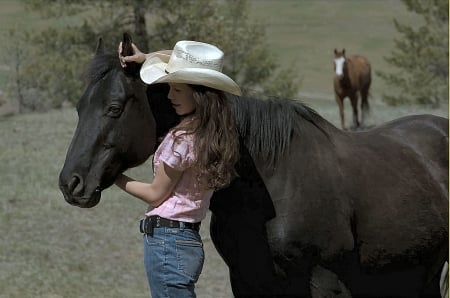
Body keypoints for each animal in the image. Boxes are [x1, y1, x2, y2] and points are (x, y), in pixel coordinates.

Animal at [59, 35, 446, 298]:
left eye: (114, 107)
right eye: (79, 107)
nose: (70, 183)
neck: (272, 182)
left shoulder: (327, 281)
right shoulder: (246, 279)